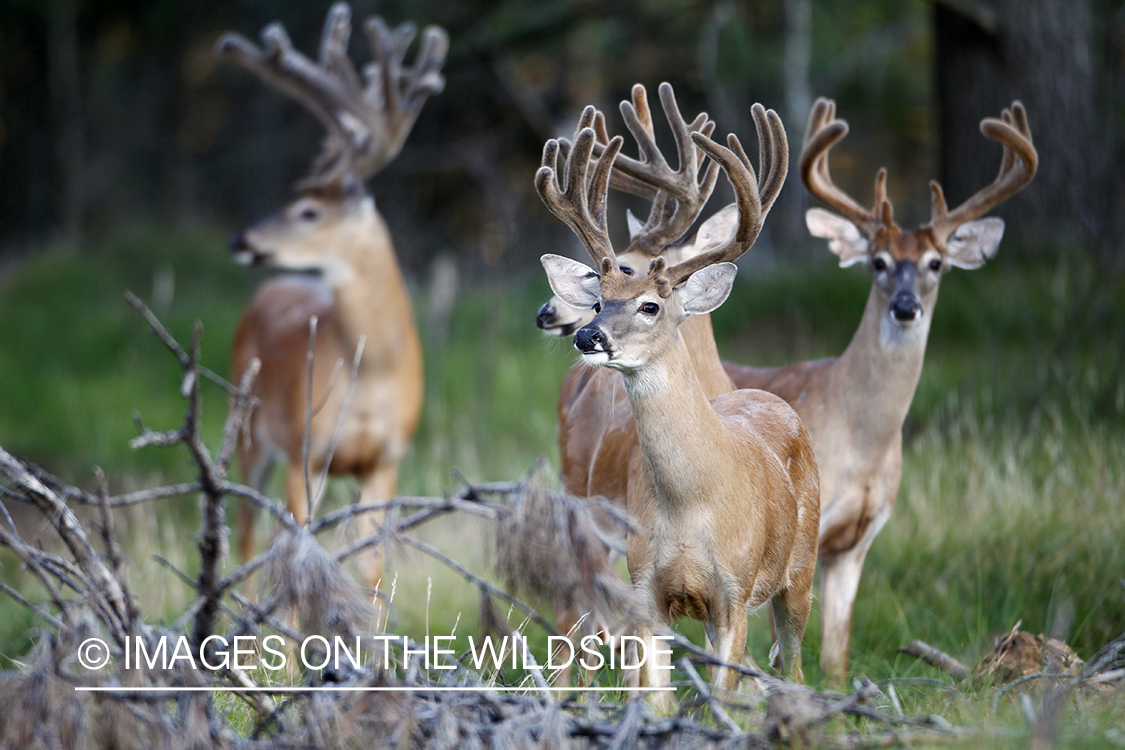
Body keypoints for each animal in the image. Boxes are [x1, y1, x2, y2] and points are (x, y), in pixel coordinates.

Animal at [214, 2, 447, 589]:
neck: (374, 373)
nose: (240, 240)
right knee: (248, 535)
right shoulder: (306, 449)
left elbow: (371, 568)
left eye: (308, 211)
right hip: (248, 429)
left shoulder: (387, 457)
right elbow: (304, 561)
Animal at [537, 98, 819, 706]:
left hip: (800, 571)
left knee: (793, 667)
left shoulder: (734, 593)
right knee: (578, 624)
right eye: (599, 296)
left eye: (649, 304)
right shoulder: (647, 588)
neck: (691, 504)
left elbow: (722, 697)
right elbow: (657, 698)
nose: (585, 334)